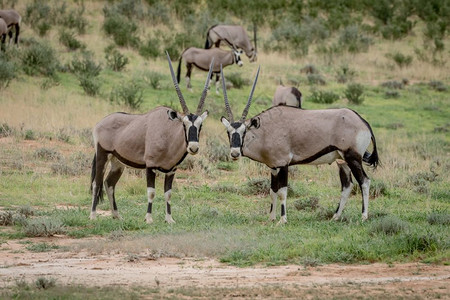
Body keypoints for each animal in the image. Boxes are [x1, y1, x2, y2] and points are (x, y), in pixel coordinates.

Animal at [89, 52, 213, 224]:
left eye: (200, 125)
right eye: (184, 124)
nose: (193, 147)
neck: (168, 134)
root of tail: (99, 123)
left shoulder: (171, 170)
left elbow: (168, 194)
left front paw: (169, 219)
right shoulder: (150, 166)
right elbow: (151, 192)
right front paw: (148, 218)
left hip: (117, 162)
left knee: (109, 183)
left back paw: (116, 215)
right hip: (102, 155)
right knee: (97, 182)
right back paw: (93, 215)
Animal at [221, 67, 380, 224]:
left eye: (244, 131)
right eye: (228, 132)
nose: (234, 153)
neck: (266, 130)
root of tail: (363, 121)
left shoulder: (283, 165)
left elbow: (282, 192)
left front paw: (283, 219)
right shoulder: (273, 167)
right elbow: (272, 191)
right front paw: (271, 218)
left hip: (353, 158)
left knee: (364, 182)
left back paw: (363, 216)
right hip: (342, 161)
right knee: (347, 186)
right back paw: (335, 217)